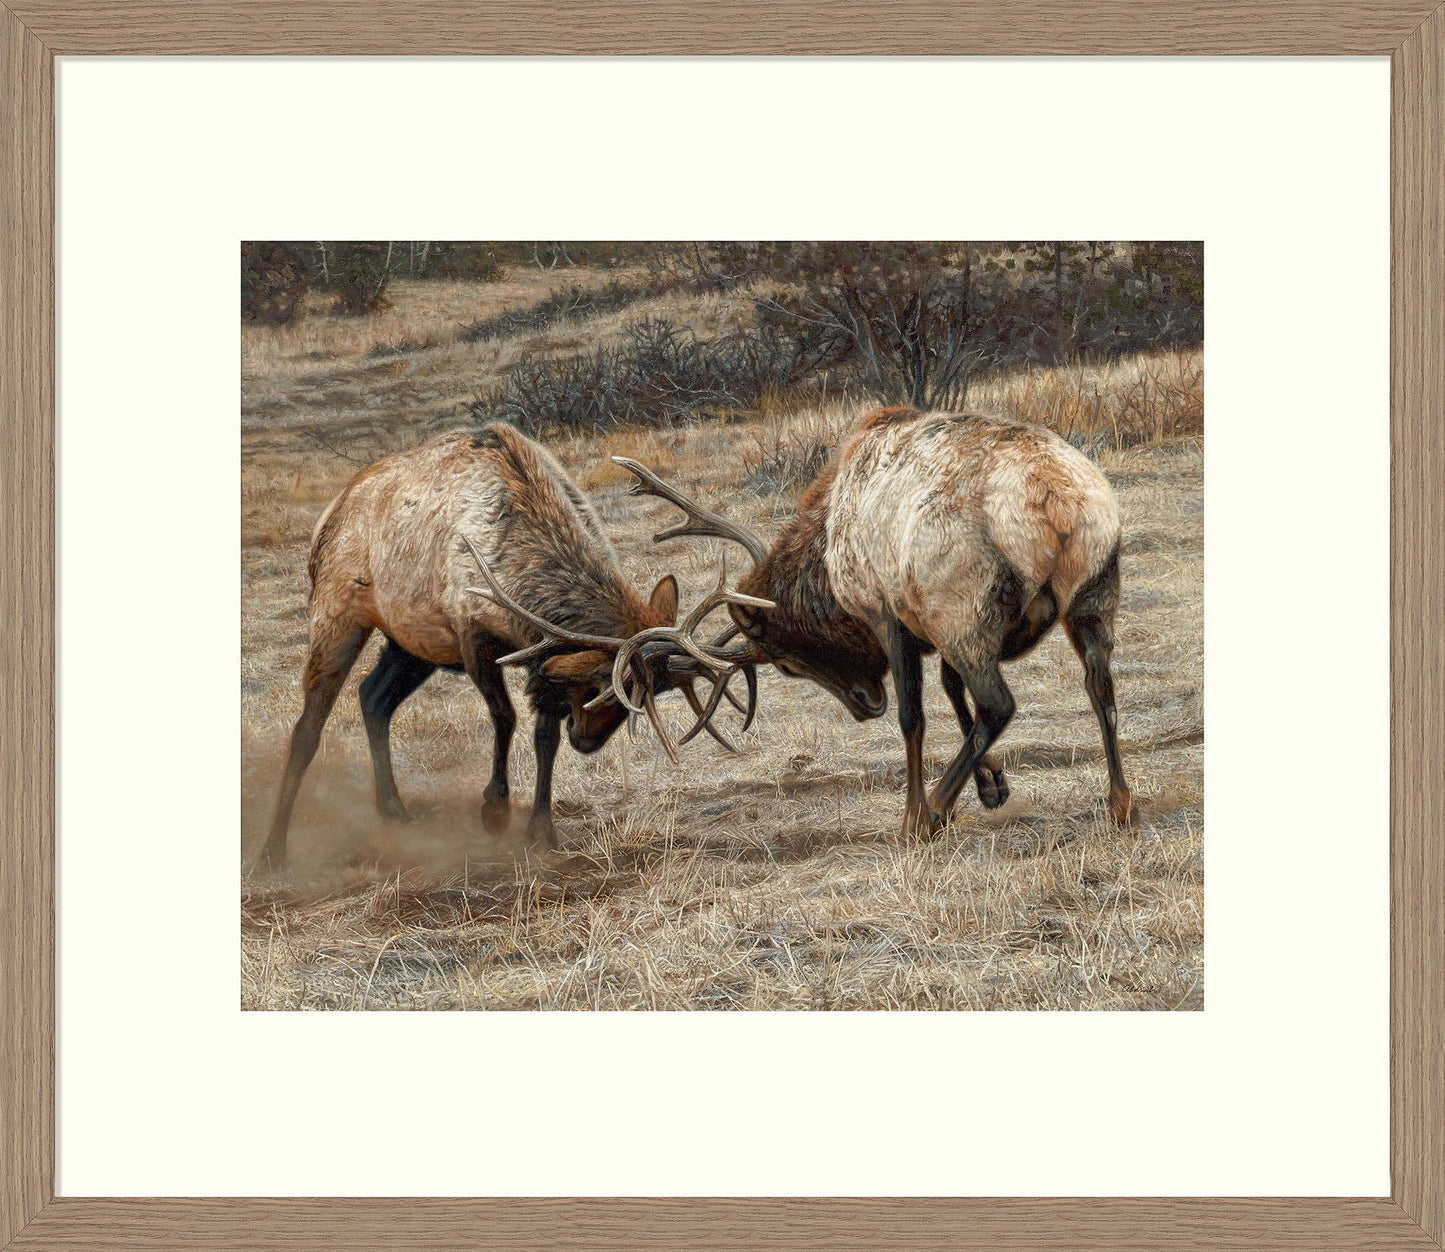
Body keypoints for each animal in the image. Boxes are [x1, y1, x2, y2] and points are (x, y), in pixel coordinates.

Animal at [259, 423, 768, 868]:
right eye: (603, 685)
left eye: (649, 695)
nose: (588, 741)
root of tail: (329, 514)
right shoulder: (472, 635)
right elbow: (505, 717)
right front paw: (494, 809)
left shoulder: (538, 655)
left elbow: (545, 738)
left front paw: (541, 829)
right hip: (337, 611)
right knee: (308, 726)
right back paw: (273, 850)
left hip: (412, 644)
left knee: (373, 697)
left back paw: (394, 811)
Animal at [615, 404, 1132, 838]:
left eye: (785, 663)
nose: (865, 705)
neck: (827, 558)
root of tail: (1057, 503)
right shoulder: (928, 623)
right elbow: (951, 690)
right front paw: (992, 786)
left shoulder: (891, 616)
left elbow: (913, 717)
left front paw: (916, 814)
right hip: (1093, 595)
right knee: (1100, 686)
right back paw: (1121, 803)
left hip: (965, 606)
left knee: (998, 703)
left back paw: (933, 811)